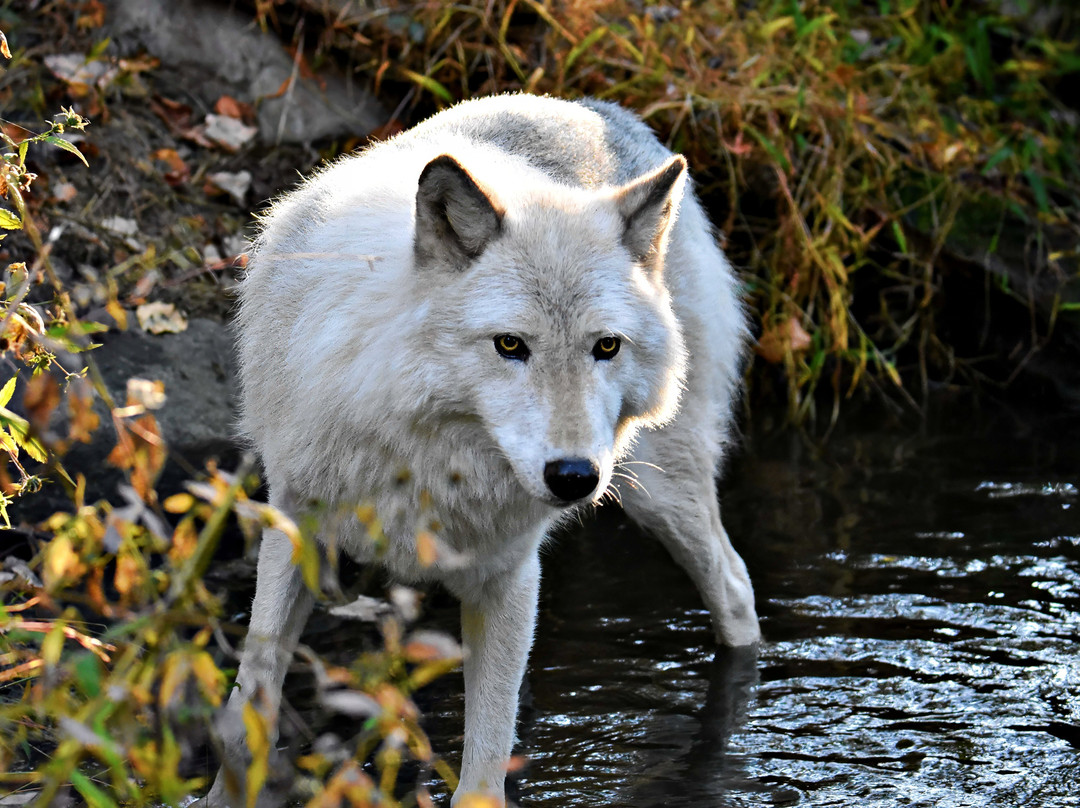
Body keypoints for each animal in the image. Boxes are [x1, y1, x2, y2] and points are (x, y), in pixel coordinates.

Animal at [206, 94, 760, 807]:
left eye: (606, 346)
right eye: (509, 345)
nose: (573, 476)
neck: (427, 451)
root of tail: (601, 111)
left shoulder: (510, 575)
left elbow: (483, 777)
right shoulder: (295, 524)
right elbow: (250, 705)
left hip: (658, 489)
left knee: (735, 585)